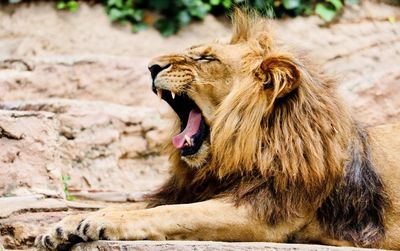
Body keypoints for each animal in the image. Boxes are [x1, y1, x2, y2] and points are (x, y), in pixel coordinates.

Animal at [35, 8, 400, 250]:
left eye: (206, 59)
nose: (151, 66)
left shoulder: (263, 213)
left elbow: (172, 214)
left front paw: (104, 222)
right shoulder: (198, 190)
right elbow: (145, 205)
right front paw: (66, 225)